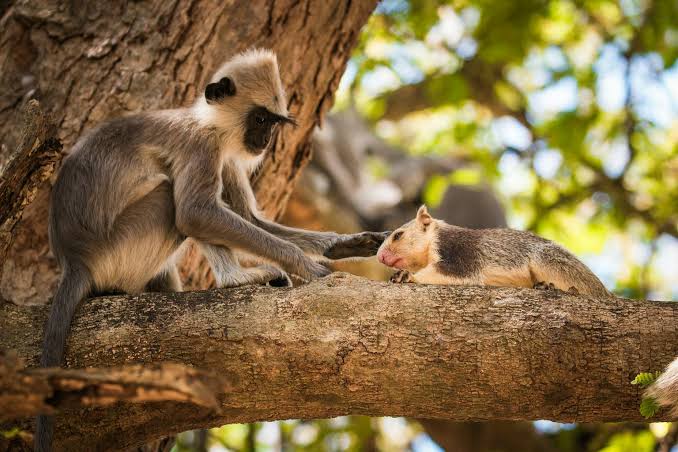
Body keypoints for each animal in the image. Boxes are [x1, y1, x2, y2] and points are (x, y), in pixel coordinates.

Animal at [36, 48, 387, 451]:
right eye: (260, 119)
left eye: (273, 122)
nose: (266, 139)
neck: (209, 123)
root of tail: (73, 258)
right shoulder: (202, 146)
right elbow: (195, 213)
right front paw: (306, 267)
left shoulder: (228, 156)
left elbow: (250, 218)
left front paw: (343, 245)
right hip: (117, 251)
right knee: (175, 200)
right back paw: (235, 280)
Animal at [376, 205, 610, 298]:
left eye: (398, 235)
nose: (380, 256)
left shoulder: (459, 250)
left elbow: (456, 273)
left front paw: (407, 276)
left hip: (549, 260)